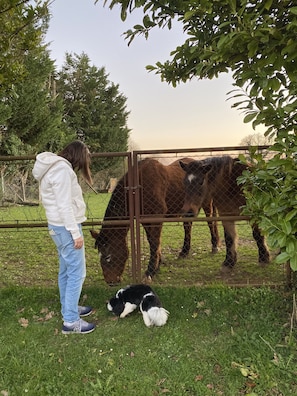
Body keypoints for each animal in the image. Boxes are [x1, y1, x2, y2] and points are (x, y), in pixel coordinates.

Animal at [91, 158, 219, 284]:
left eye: (108, 257)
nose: (110, 282)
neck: (138, 187)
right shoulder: (145, 220)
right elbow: (151, 241)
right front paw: (157, 265)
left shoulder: (157, 217)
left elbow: (154, 241)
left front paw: (151, 271)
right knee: (187, 226)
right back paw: (184, 251)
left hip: (206, 203)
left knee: (210, 222)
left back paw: (214, 246)